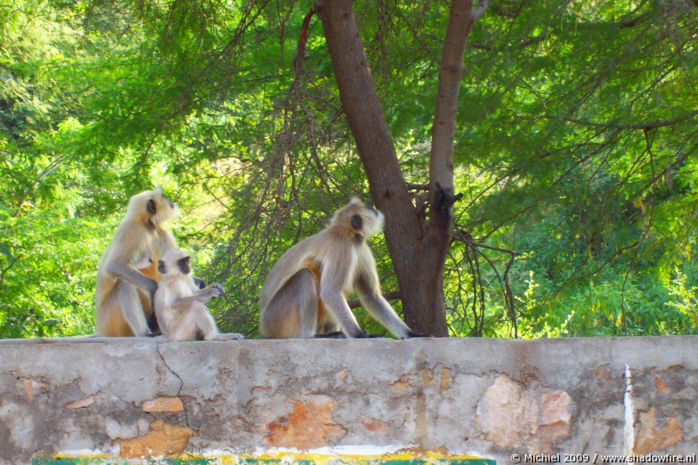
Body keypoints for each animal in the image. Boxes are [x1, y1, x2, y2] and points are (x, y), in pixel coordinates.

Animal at [94, 187, 177, 336]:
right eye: (163, 197)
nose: (170, 201)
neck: (148, 225)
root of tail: (100, 329)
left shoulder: (161, 232)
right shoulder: (132, 229)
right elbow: (113, 265)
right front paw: (153, 288)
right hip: (109, 321)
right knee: (123, 283)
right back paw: (145, 333)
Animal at [260, 196, 426, 338]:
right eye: (368, 208)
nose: (374, 208)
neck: (347, 233)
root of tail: (263, 328)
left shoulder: (360, 248)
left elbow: (370, 295)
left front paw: (411, 333)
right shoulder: (342, 247)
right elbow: (330, 291)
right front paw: (359, 335)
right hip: (276, 316)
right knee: (304, 276)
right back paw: (309, 335)